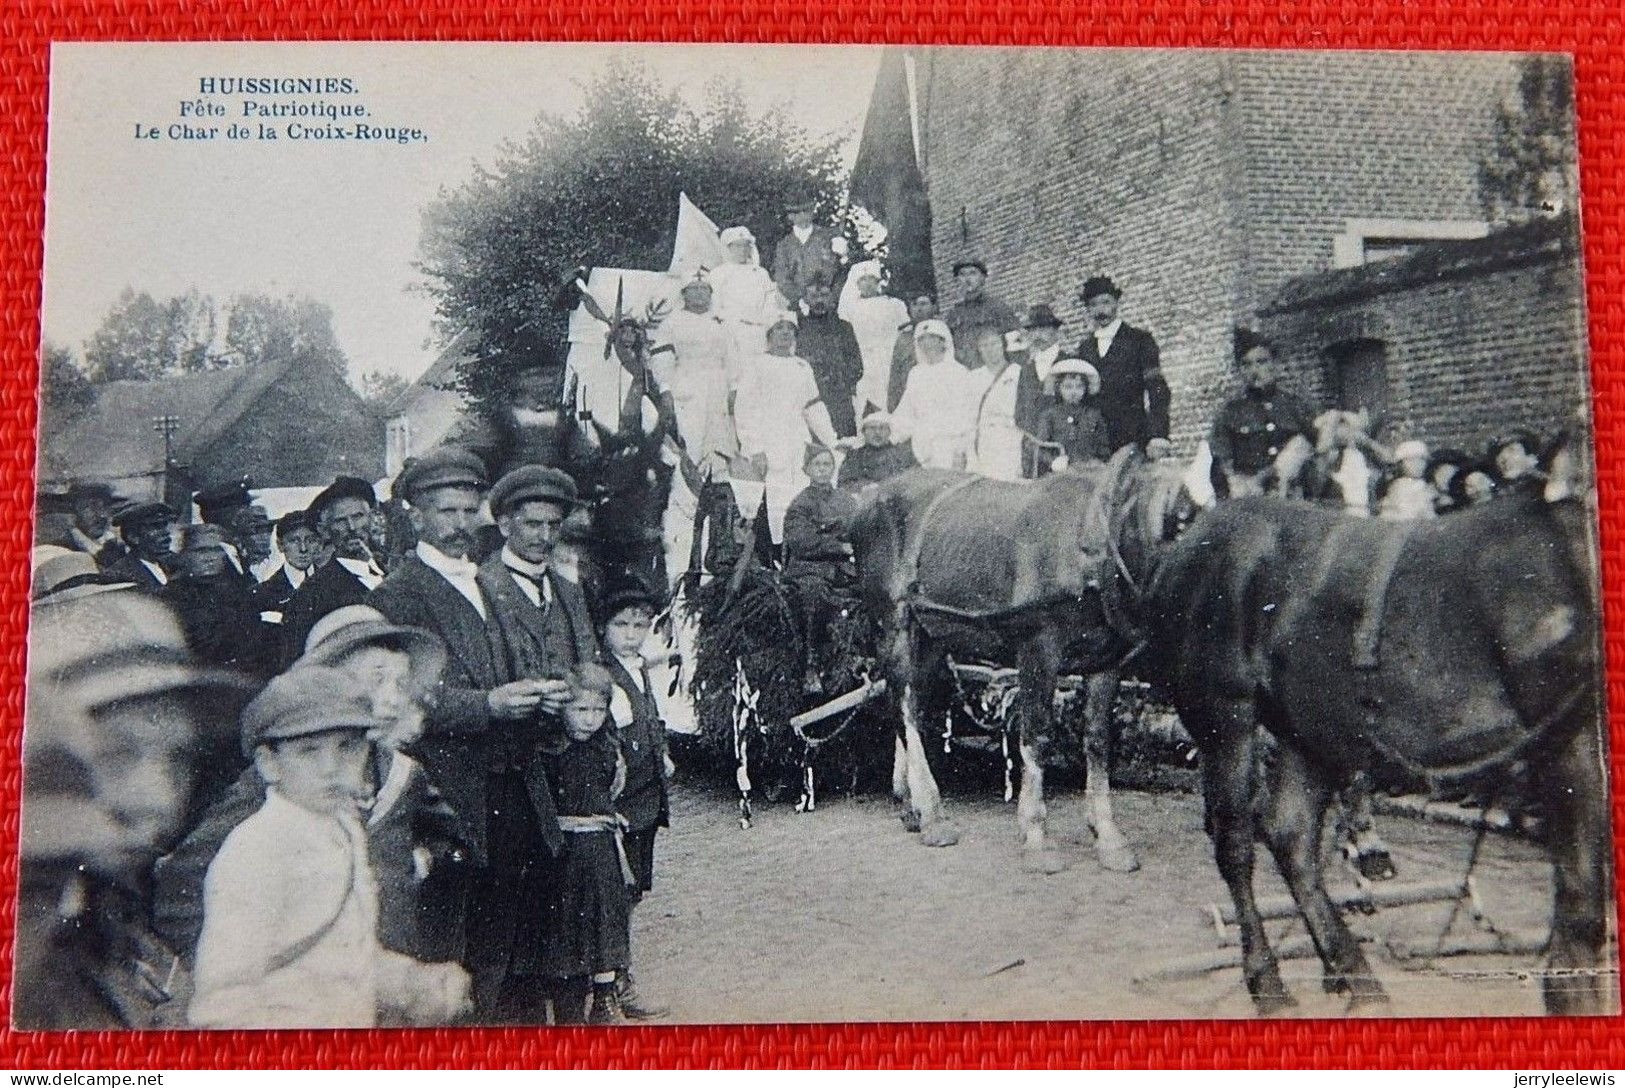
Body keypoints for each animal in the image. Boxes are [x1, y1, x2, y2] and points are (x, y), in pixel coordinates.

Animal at [851, 448, 1183, 876]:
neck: (1091, 540)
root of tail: (869, 497)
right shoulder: (1037, 649)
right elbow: (1036, 735)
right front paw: (1036, 837)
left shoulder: (1105, 661)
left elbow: (1097, 740)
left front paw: (1108, 837)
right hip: (893, 625)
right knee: (905, 707)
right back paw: (932, 815)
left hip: (930, 635)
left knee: (908, 705)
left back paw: (910, 807)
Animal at [1144, 438, 1612, 1019]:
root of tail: (1184, 546)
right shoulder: (1562, 739)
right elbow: (1582, 886)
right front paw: (1571, 997)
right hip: (1224, 717)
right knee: (1235, 841)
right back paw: (1269, 985)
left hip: (1310, 730)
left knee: (1290, 835)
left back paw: (1358, 979)